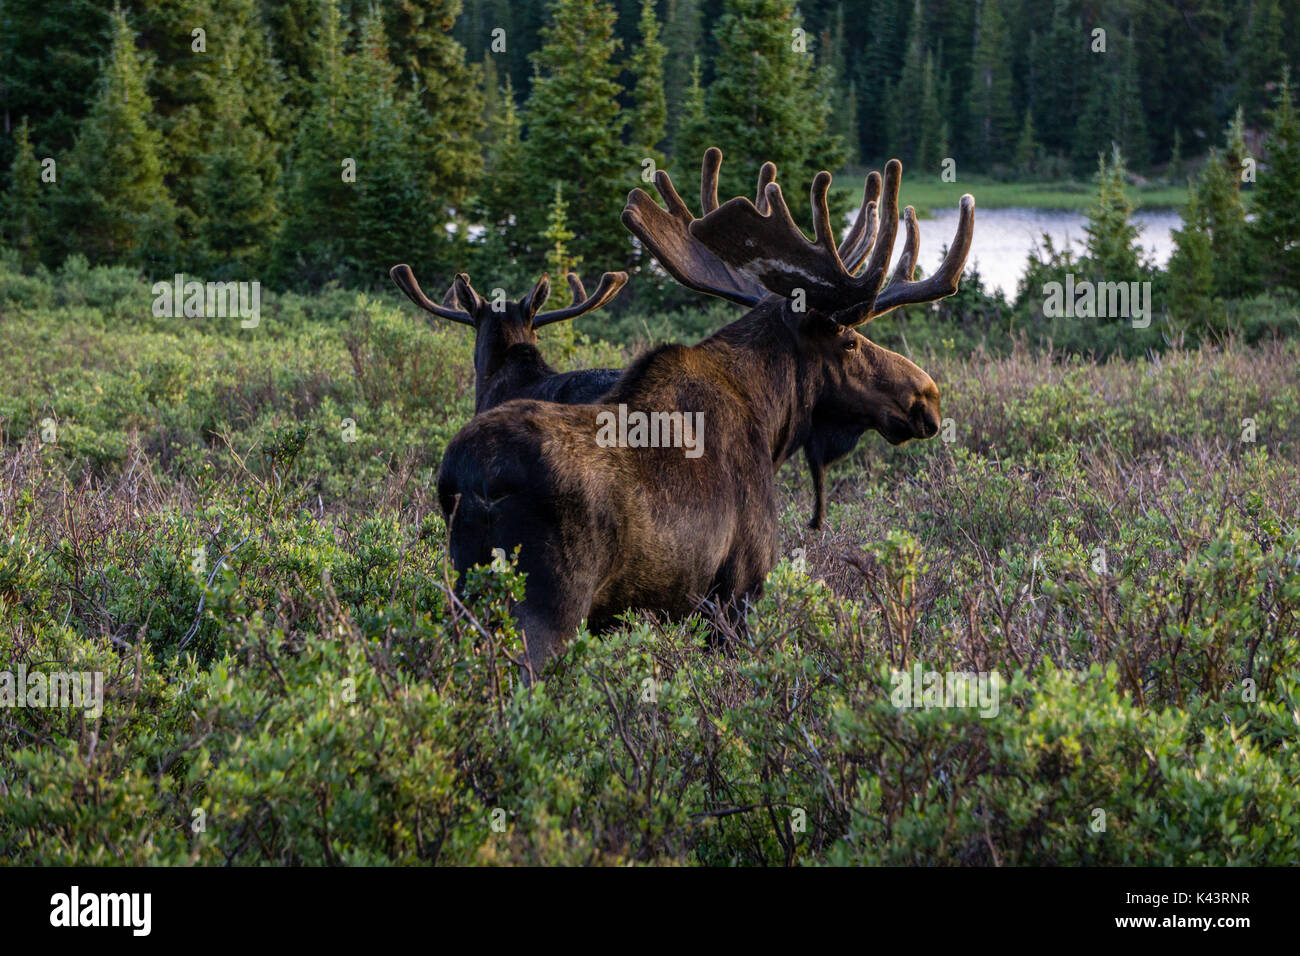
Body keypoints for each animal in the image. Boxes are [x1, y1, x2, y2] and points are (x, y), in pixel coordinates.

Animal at [436, 151, 977, 671]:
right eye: (848, 340)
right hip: (546, 604)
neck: (771, 423)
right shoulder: (737, 591)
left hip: (465, 594)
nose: (926, 395)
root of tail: (472, 480)